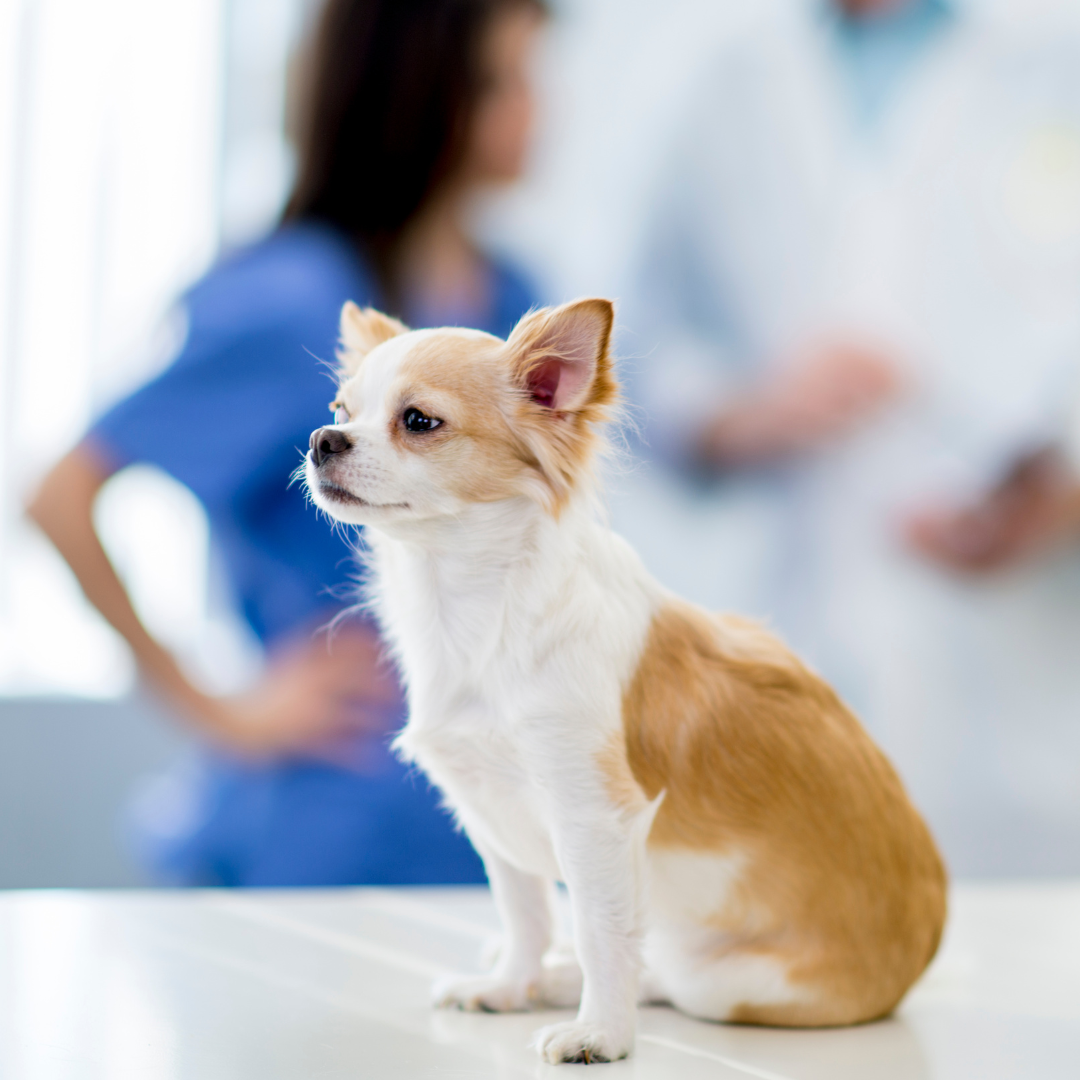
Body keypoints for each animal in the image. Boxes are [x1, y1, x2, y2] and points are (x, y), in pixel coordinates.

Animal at [304, 295, 946, 1062]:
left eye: (419, 421)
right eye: (340, 409)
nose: (322, 439)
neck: (473, 607)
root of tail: (923, 950)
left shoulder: (594, 820)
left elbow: (600, 930)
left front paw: (600, 1035)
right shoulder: (488, 808)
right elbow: (524, 914)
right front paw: (512, 986)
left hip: (726, 982)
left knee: (661, 969)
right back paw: (548, 979)